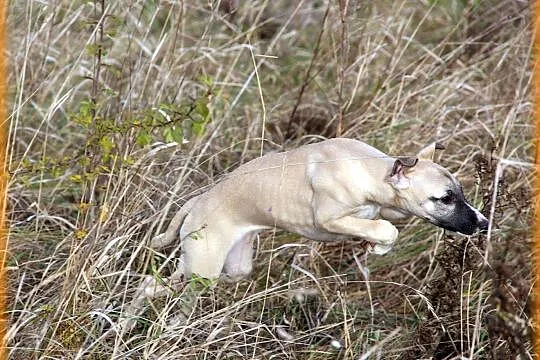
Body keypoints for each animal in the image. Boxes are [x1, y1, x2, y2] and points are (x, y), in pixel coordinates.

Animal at [149, 138, 490, 282]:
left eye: (460, 192)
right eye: (445, 198)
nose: (483, 223)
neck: (365, 167)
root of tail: (196, 202)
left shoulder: (384, 208)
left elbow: (385, 221)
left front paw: (375, 245)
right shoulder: (328, 219)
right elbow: (386, 229)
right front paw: (379, 245)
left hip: (231, 268)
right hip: (202, 269)